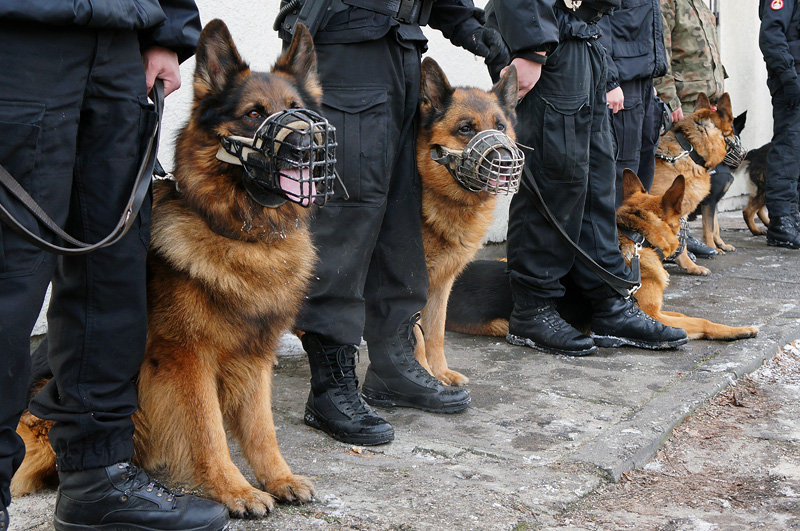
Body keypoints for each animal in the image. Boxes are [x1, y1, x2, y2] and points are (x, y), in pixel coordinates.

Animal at [11, 19, 318, 516]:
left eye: (298, 113)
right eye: (254, 114)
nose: (306, 146)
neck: (240, 234)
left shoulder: (255, 356)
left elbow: (261, 427)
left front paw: (278, 478)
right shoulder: (187, 359)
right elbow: (208, 431)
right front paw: (234, 489)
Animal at [412, 57, 520, 386]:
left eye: (500, 126)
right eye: (465, 129)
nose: (505, 162)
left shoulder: (441, 286)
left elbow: (434, 333)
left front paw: (440, 373)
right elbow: (416, 336)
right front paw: (424, 376)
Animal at [446, 171, 760, 344]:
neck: (639, 239)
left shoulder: (658, 312)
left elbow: (690, 316)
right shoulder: (654, 316)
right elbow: (701, 322)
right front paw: (739, 329)